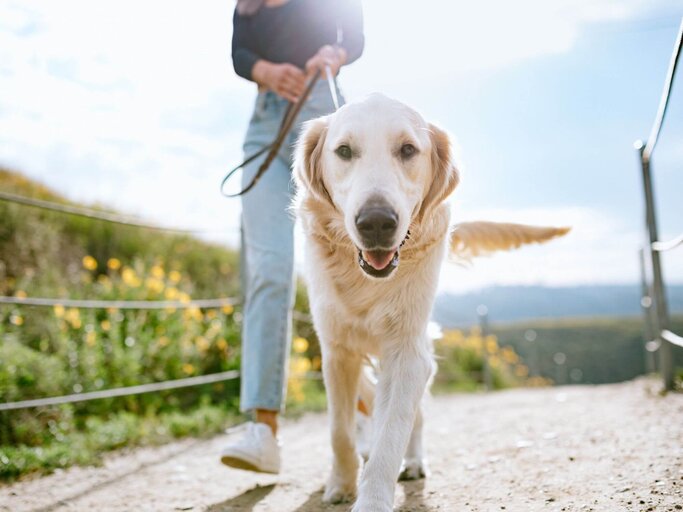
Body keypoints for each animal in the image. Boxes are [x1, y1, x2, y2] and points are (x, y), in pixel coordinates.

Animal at [292, 94, 568, 510]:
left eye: (408, 150)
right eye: (344, 151)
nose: (376, 222)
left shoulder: (408, 352)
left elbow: (392, 432)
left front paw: (372, 497)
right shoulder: (337, 350)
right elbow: (339, 429)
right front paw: (340, 483)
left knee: (414, 417)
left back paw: (413, 461)